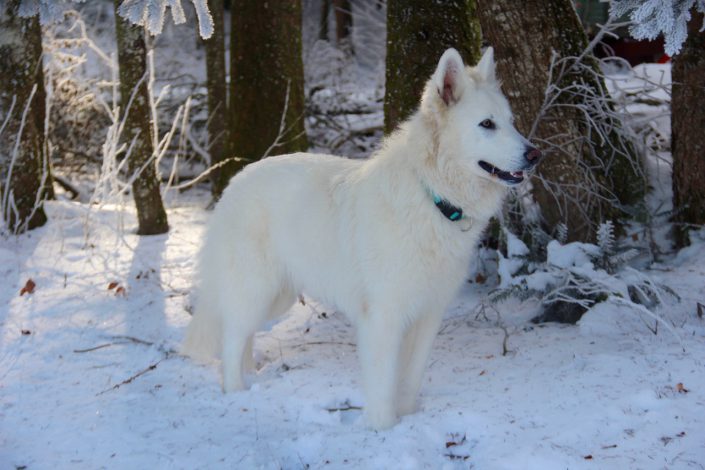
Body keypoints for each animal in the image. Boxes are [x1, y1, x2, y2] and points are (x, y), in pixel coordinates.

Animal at [184, 46, 540, 430]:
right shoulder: (384, 317)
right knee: (232, 337)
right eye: (487, 124)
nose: (535, 155)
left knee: (243, 334)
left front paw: (408, 417)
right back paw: (236, 392)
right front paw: (383, 428)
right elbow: (383, 384)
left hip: (278, 296)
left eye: (511, 122)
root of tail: (236, 180)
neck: (431, 196)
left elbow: (411, 379)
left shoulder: (429, 314)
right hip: (256, 289)